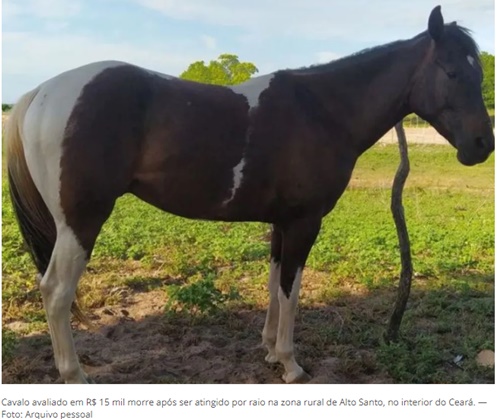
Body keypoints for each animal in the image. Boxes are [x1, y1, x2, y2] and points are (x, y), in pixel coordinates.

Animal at [4, 4, 492, 384]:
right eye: (452, 71)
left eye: (478, 72)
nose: (482, 146)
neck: (323, 110)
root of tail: (42, 92)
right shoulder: (304, 223)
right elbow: (292, 290)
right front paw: (292, 365)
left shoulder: (281, 223)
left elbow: (275, 285)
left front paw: (271, 351)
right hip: (81, 222)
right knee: (56, 291)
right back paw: (75, 374)